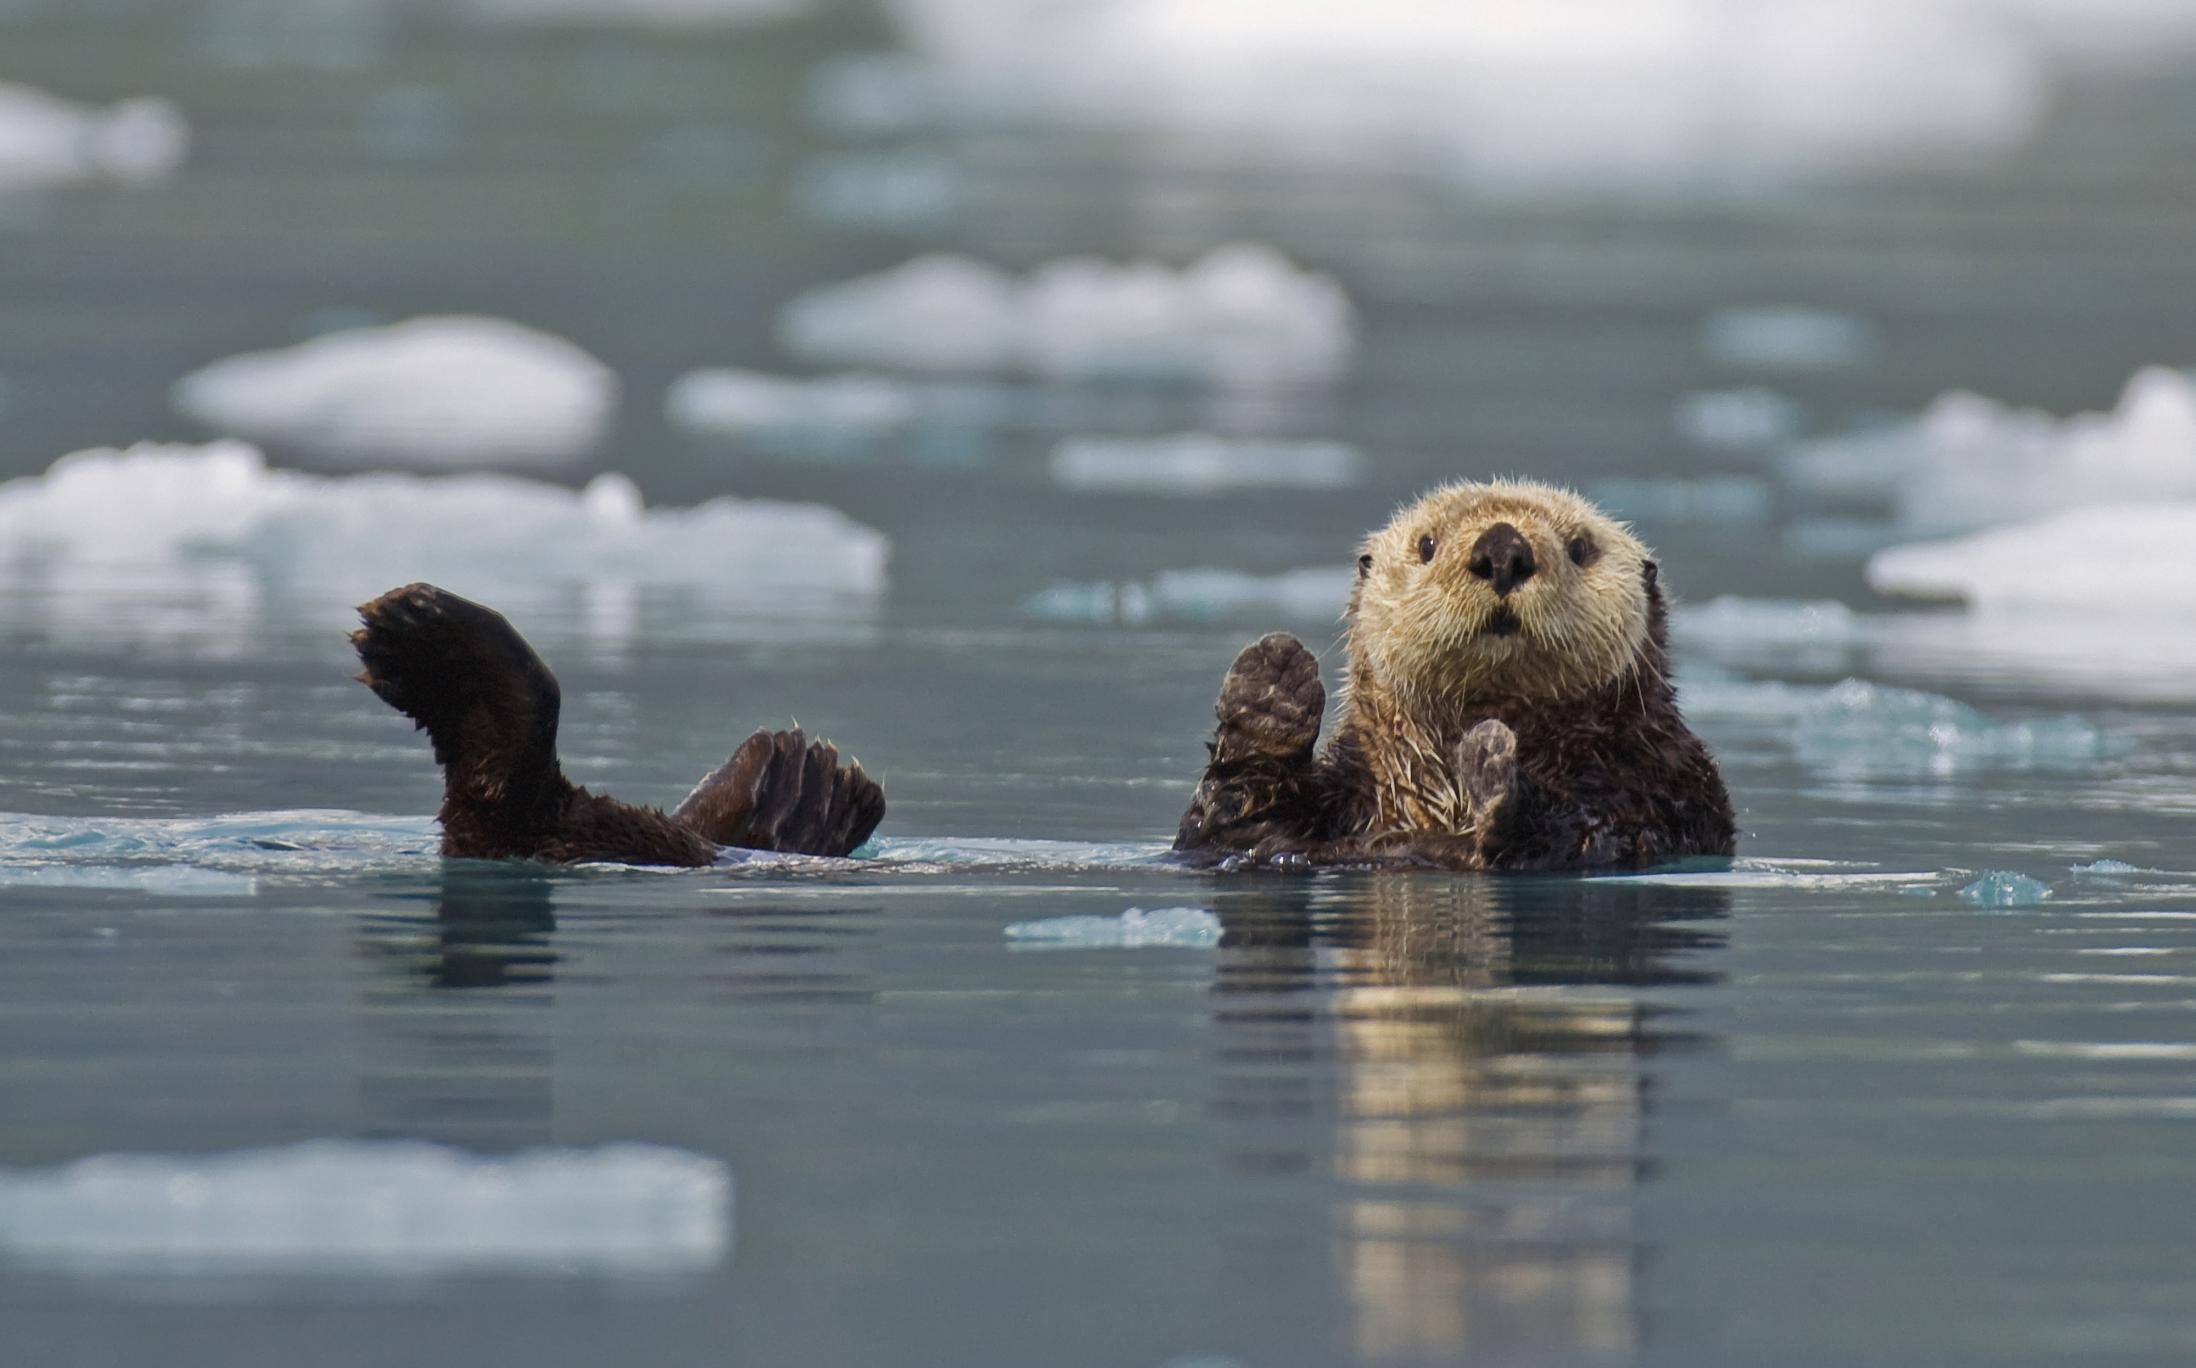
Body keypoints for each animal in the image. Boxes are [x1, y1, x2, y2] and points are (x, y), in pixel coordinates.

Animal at [1177, 478, 1739, 865]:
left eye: (1580, 548)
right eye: (1426, 545)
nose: (1504, 548)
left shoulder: (1664, 787)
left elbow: (1587, 835)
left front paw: (1491, 763)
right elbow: (1223, 831)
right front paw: (1271, 686)